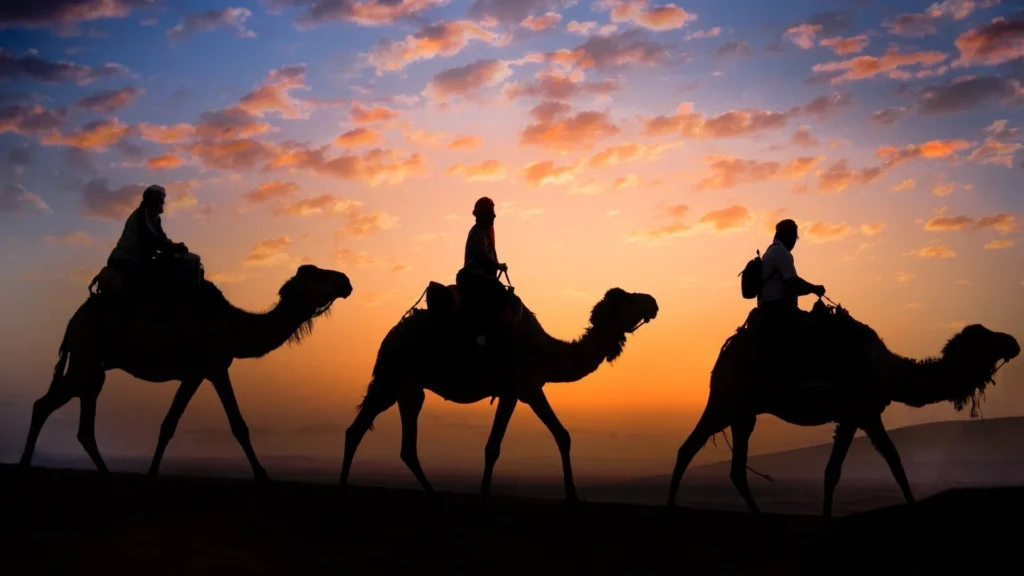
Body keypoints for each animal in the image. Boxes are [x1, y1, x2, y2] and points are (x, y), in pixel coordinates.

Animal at [18, 262, 352, 477]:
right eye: (317, 274)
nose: (347, 281)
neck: (234, 327)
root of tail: (73, 320)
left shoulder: (199, 372)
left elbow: (170, 423)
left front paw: (152, 471)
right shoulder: (211, 367)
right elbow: (233, 424)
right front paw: (263, 475)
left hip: (87, 362)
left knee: (62, 412)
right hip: (88, 355)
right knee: (61, 409)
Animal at [335, 284, 655, 500]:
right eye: (628, 298)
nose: (653, 302)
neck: (547, 351)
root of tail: (388, 337)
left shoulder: (525, 389)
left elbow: (562, 435)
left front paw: (573, 496)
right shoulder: (520, 389)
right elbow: (494, 447)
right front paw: (485, 496)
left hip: (408, 388)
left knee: (395, 442)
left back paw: (431, 493)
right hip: (391, 377)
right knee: (360, 430)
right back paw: (343, 488)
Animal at [667, 297, 1019, 518]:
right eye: (986, 337)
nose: (1014, 342)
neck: (885, 369)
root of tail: (726, 350)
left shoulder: (865, 414)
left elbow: (887, 461)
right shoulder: (857, 412)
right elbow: (843, 470)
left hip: (745, 412)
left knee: (735, 468)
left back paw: (757, 514)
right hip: (726, 399)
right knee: (688, 447)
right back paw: (670, 506)